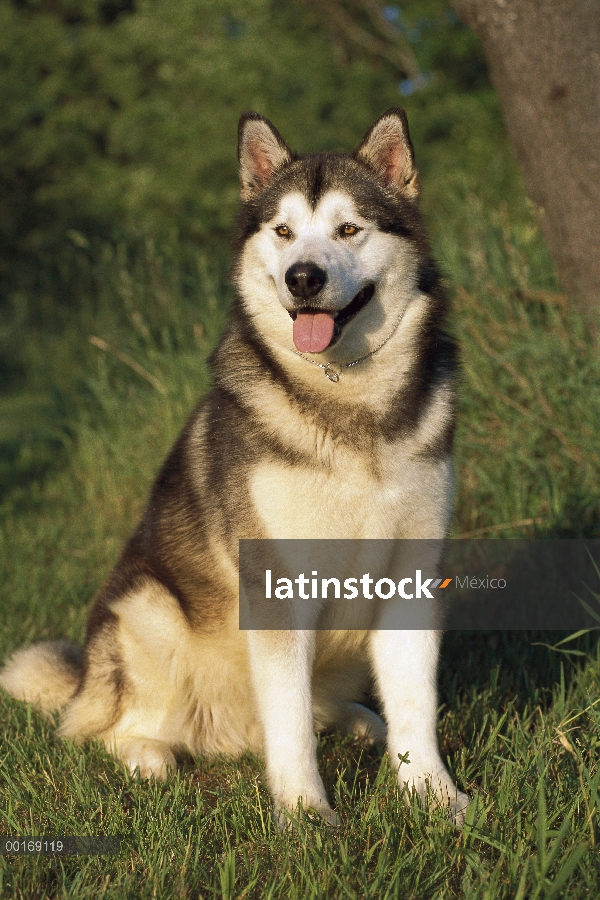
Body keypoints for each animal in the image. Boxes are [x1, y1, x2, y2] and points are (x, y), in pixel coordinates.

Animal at [0, 109, 468, 828]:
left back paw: (363, 723)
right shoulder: (273, 584)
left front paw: (435, 797)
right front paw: (306, 818)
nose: (302, 277)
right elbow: (291, 726)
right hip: (148, 610)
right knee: (95, 729)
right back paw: (147, 753)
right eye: (282, 230)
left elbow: (416, 707)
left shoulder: (410, 575)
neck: (347, 401)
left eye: (348, 228)